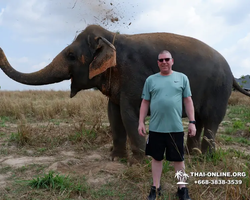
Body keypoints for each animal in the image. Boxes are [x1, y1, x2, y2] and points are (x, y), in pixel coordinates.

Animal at [0, 24, 250, 160]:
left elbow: (130, 114)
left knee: (212, 121)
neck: (111, 38)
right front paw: (115, 158)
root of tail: (233, 75)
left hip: (219, 92)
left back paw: (205, 157)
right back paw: (192, 155)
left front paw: (137, 162)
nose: (2, 48)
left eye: (71, 55)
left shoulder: (135, 76)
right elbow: (113, 114)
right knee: (198, 121)